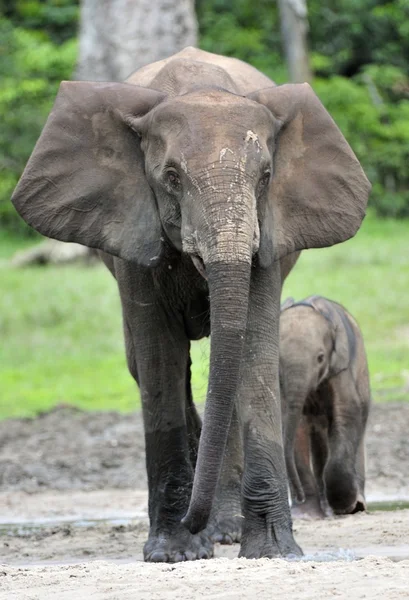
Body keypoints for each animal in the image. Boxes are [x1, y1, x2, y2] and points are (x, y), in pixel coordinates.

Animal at [280, 296, 370, 520]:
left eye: (320, 358)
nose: (299, 496)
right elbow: (295, 429)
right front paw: (305, 515)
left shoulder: (341, 370)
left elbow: (346, 413)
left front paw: (346, 507)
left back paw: (356, 506)